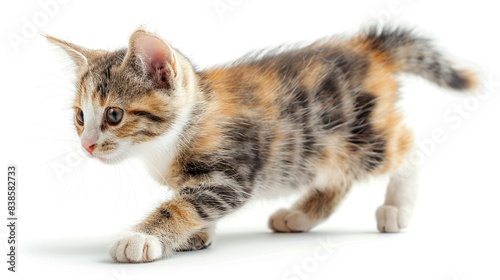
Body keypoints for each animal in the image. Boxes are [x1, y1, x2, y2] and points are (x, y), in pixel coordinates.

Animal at [47, 25, 476, 262]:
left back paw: (397, 207)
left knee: (406, 145)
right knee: (337, 178)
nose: (87, 145)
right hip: (319, 148)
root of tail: (368, 48)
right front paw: (198, 234)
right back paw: (300, 215)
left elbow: (185, 203)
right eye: (80, 117)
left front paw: (143, 237)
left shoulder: (233, 173)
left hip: (358, 137)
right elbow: (194, 201)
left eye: (114, 115)